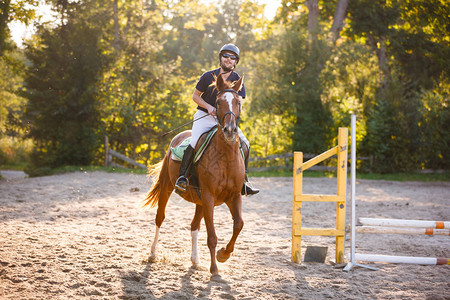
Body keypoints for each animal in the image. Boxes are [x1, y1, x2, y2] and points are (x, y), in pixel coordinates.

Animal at [143, 74, 246, 278]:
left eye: (238, 102)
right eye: (218, 102)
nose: (230, 130)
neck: (226, 157)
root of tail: (178, 136)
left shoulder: (234, 196)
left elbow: (238, 224)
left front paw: (224, 255)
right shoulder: (209, 196)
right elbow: (212, 236)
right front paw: (214, 268)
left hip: (199, 201)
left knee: (194, 226)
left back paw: (195, 261)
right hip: (168, 187)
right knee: (160, 218)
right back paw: (152, 254)